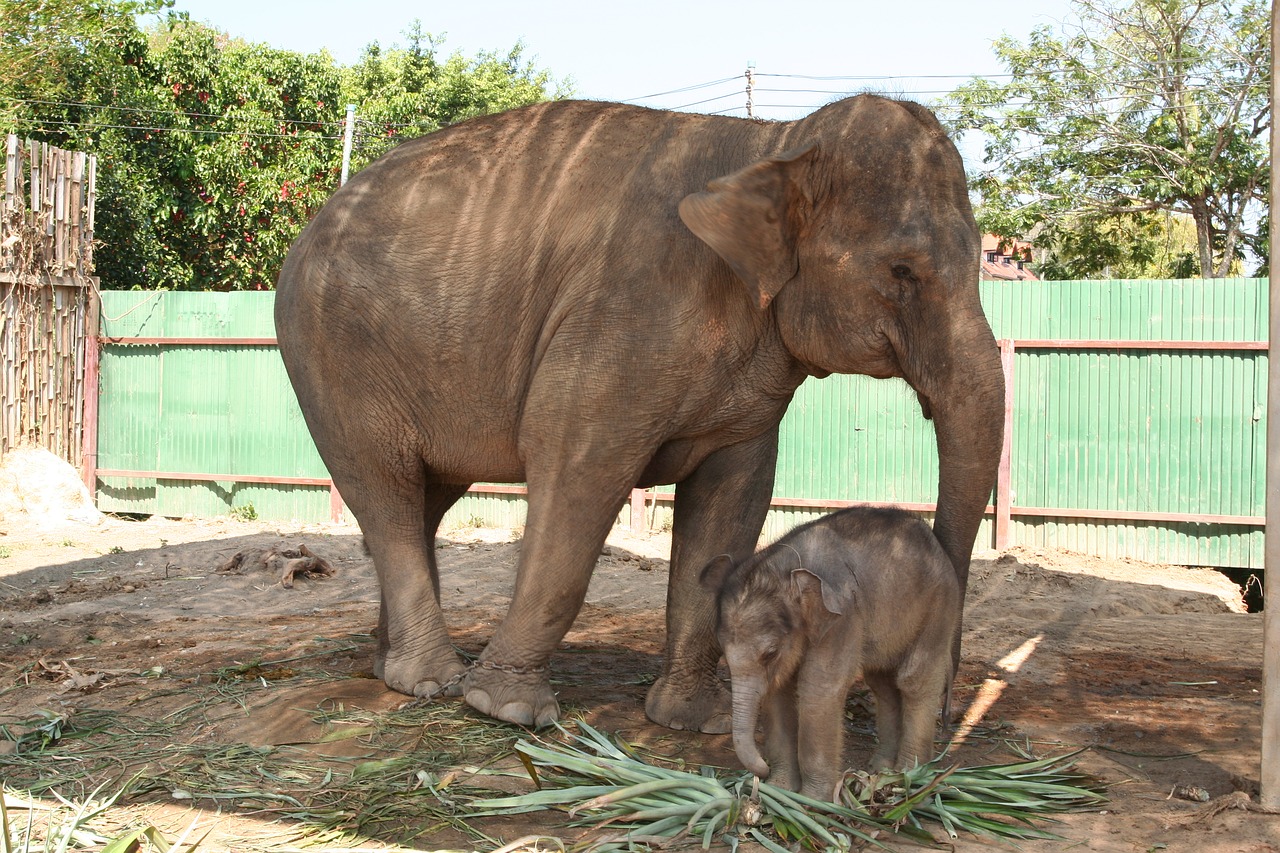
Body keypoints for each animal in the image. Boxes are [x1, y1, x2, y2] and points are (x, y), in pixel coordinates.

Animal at [275, 92, 1003, 732]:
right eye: (903, 270)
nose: (942, 720)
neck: (775, 142)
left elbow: (733, 500)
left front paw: (694, 720)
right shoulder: (620, 316)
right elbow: (575, 469)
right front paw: (506, 709)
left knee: (427, 498)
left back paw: (392, 667)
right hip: (333, 362)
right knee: (386, 491)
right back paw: (430, 680)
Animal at [701, 507, 962, 799]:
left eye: (770, 653)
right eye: (722, 647)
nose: (761, 773)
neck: (784, 568)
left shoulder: (842, 617)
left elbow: (819, 689)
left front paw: (811, 800)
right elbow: (777, 692)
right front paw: (780, 790)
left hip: (940, 605)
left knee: (914, 679)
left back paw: (909, 775)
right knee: (882, 683)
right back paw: (882, 770)